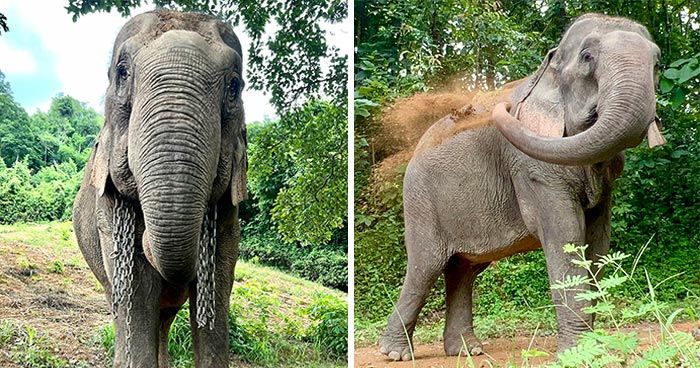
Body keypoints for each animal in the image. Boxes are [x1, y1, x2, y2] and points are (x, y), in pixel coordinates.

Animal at [73, 10, 249, 366]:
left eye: (234, 86)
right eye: (122, 73)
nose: (145, 238)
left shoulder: (229, 218)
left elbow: (218, 283)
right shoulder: (107, 214)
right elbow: (137, 292)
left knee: (165, 319)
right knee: (123, 304)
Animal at [380, 13, 664, 360]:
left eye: (657, 64)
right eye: (587, 57)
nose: (502, 107)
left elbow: (597, 242)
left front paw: (595, 350)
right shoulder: (532, 169)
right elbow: (565, 235)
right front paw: (576, 354)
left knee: (463, 269)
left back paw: (467, 351)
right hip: (421, 201)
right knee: (425, 267)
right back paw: (395, 353)